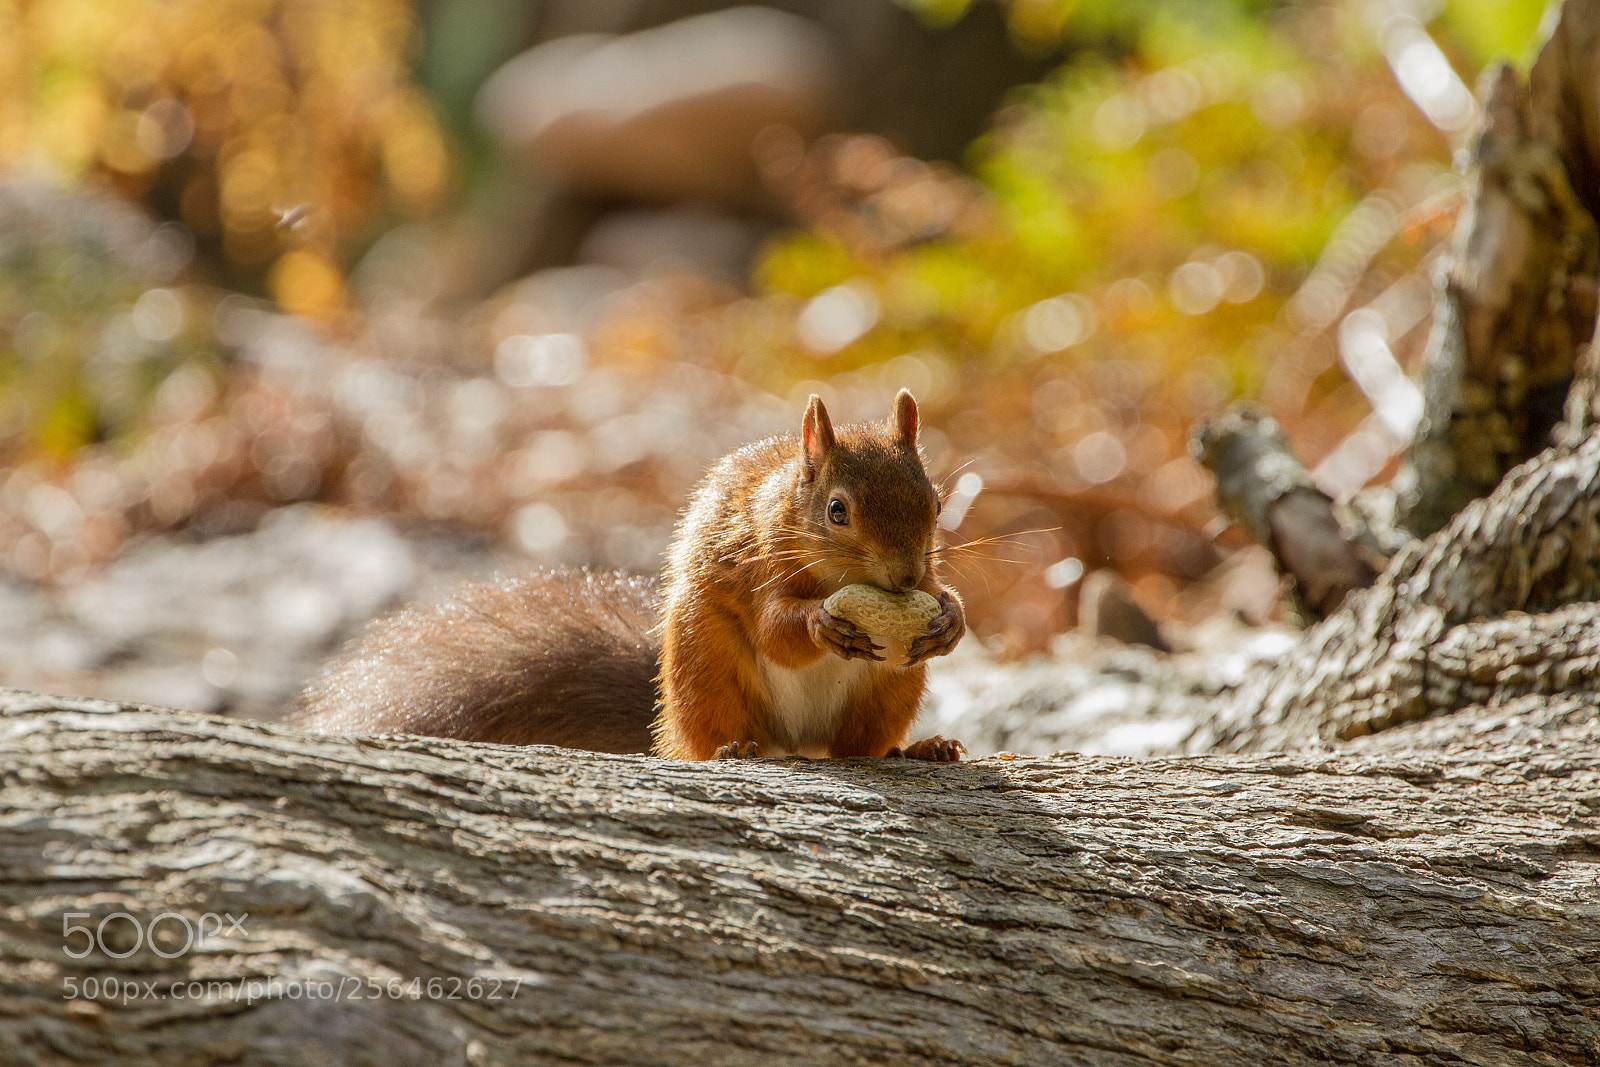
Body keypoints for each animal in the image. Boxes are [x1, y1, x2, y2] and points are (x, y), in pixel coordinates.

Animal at [290, 389, 965, 761]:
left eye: (936, 502)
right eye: (837, 511)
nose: (906, 577)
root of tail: (799, 747)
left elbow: (942, 602)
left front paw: (951, 616)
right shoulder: (754, 564)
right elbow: (778, 628)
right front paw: (823, 624)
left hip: (890, 689)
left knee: (859, 748)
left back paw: (922, 749)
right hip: (706, 667)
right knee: (711, 742)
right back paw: (734, 750)